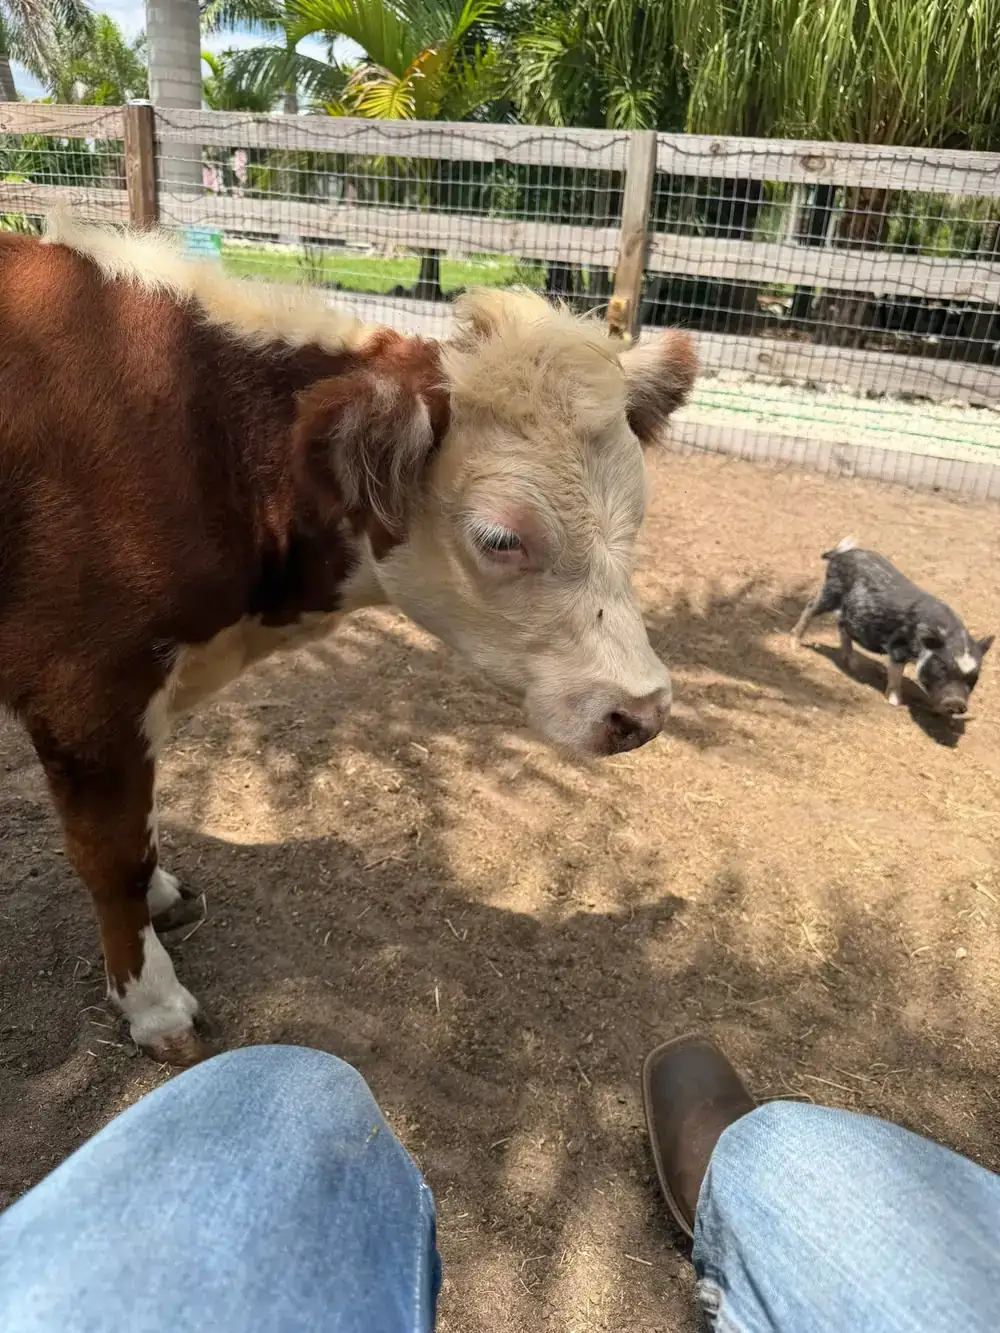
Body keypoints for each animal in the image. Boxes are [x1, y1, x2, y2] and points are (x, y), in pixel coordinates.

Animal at [0, 214, 697, 1065]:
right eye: (500, 537)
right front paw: (154, 1002)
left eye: (638, 511)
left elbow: (145, 824)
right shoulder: (83, 693)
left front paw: (164, 893)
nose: (644, 709)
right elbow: (113, 857)